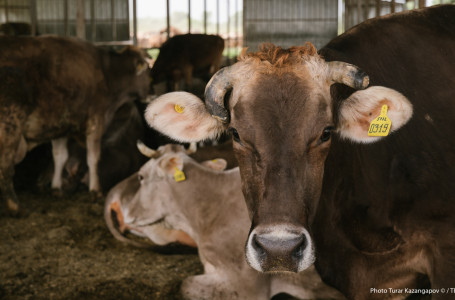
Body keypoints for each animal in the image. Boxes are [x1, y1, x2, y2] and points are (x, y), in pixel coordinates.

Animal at [0, 36, 150, 214]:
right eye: (147, 69)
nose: (153, 91)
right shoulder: (96, 120)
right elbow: (93, 156)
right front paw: (95, 190)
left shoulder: (61, 127)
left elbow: (60, 156)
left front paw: (56, 189)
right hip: (10, 127)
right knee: (5, 167)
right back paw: (15, 207)